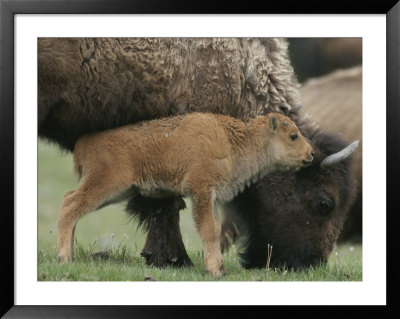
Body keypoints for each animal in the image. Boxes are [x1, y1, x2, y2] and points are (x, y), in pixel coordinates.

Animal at [57, 113, 312, 278]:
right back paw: (64, 257)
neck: (233, 141)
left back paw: (70, 256)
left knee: (69, 201)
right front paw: (214, 270)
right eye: (293, 136)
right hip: (104, 186)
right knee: (70, 206)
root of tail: (83, 142)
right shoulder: (201, 191)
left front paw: (220, 268)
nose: (310, 153)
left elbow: (215, 229)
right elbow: (208, 230)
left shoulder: (212, 198)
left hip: (117, 191)